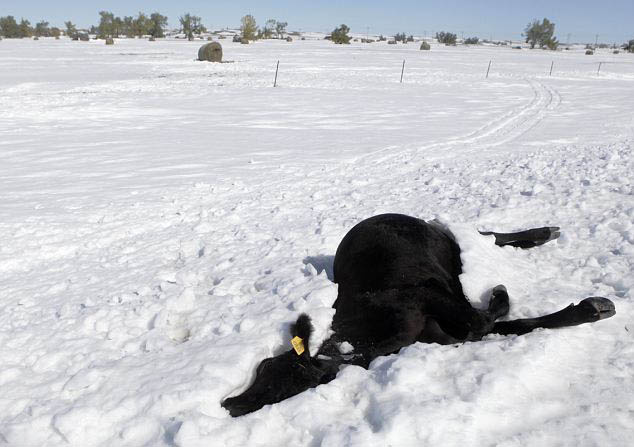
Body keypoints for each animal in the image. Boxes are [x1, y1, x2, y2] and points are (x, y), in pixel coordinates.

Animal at [221, 214, 612, 416]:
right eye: (261, 369)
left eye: (277, 381)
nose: (230, 403)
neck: (362, 341)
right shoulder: (442, 331)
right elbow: (504, 326)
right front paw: (589, 309)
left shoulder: (425, 294)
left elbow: (483, 319)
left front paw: (502, 293)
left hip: (446, 240)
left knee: (487, 235)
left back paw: (543, 232)